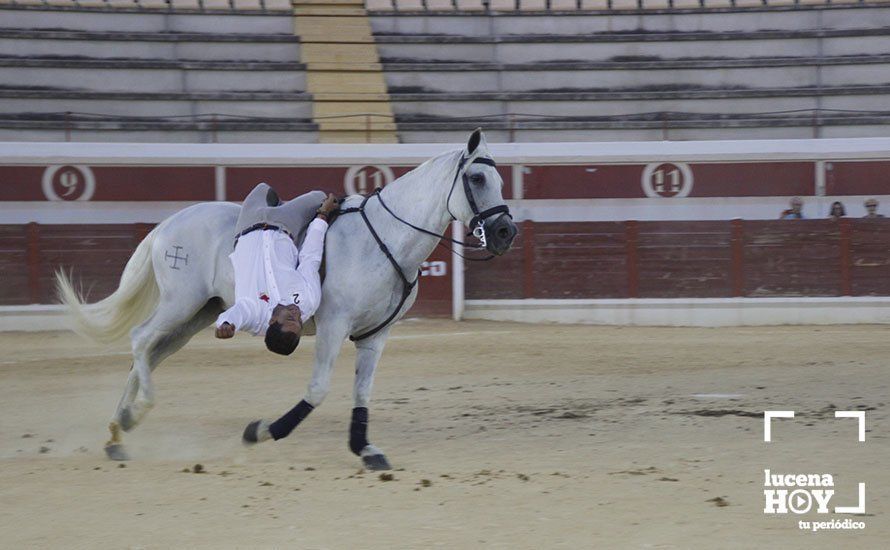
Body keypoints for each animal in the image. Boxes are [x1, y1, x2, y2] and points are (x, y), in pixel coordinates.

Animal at [57, 128, 512, 470]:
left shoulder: (374, 336)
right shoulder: (333, 326)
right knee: (140, 339)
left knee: (150, 352)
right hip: (179, 303)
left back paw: (117, 435)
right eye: (476, 179)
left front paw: (366, 449)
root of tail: (169, 222)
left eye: (501, 181)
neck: (384, 238)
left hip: (198, 315)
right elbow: (318, 389)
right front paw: (259, 432)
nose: (506, 232)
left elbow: (362, 393)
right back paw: (131, 416)